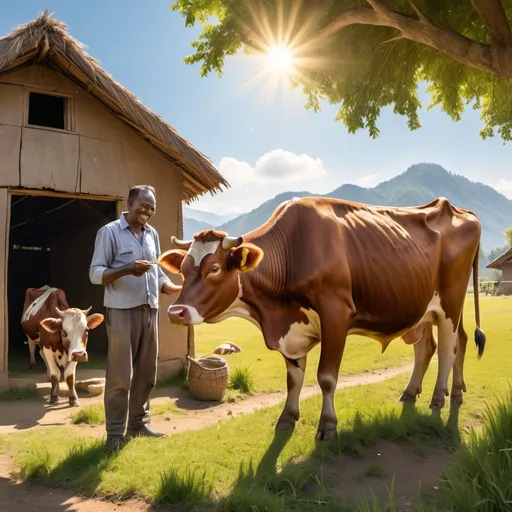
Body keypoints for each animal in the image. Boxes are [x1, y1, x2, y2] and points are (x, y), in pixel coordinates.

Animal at [158, 196, 486, 440]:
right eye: (183, 268)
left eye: (214, 268)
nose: (176, 312)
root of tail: (457, 209)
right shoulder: (291, 330)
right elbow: (293, 378)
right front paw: (287, 418)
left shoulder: (336, 314)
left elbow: (326, 377)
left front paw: (328, 425)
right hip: (423, 309)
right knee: (437, 346)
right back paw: (428, 392)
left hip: (450, 302)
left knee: (448, 348)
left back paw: (440, 397)